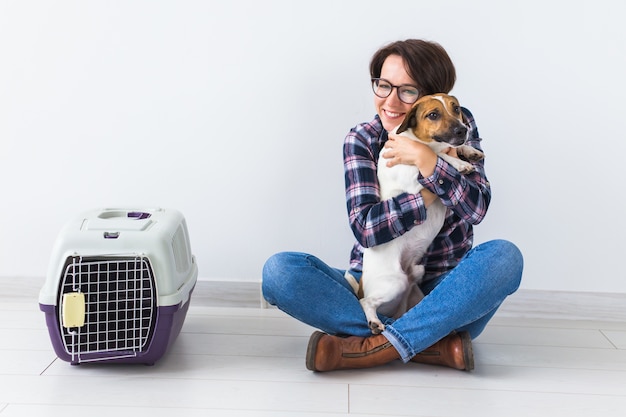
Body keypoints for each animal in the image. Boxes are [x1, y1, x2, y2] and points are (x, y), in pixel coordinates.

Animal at [352, 92, 482, 334]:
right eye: (433, 115)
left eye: (456, 108)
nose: (463, 130)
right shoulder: (413, 179)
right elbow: (436, 157)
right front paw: (458, 163)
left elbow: (448, 151)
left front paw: (470, 151)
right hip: (394, 282)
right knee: (365, 302)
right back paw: (373, 321)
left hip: (416, 278)